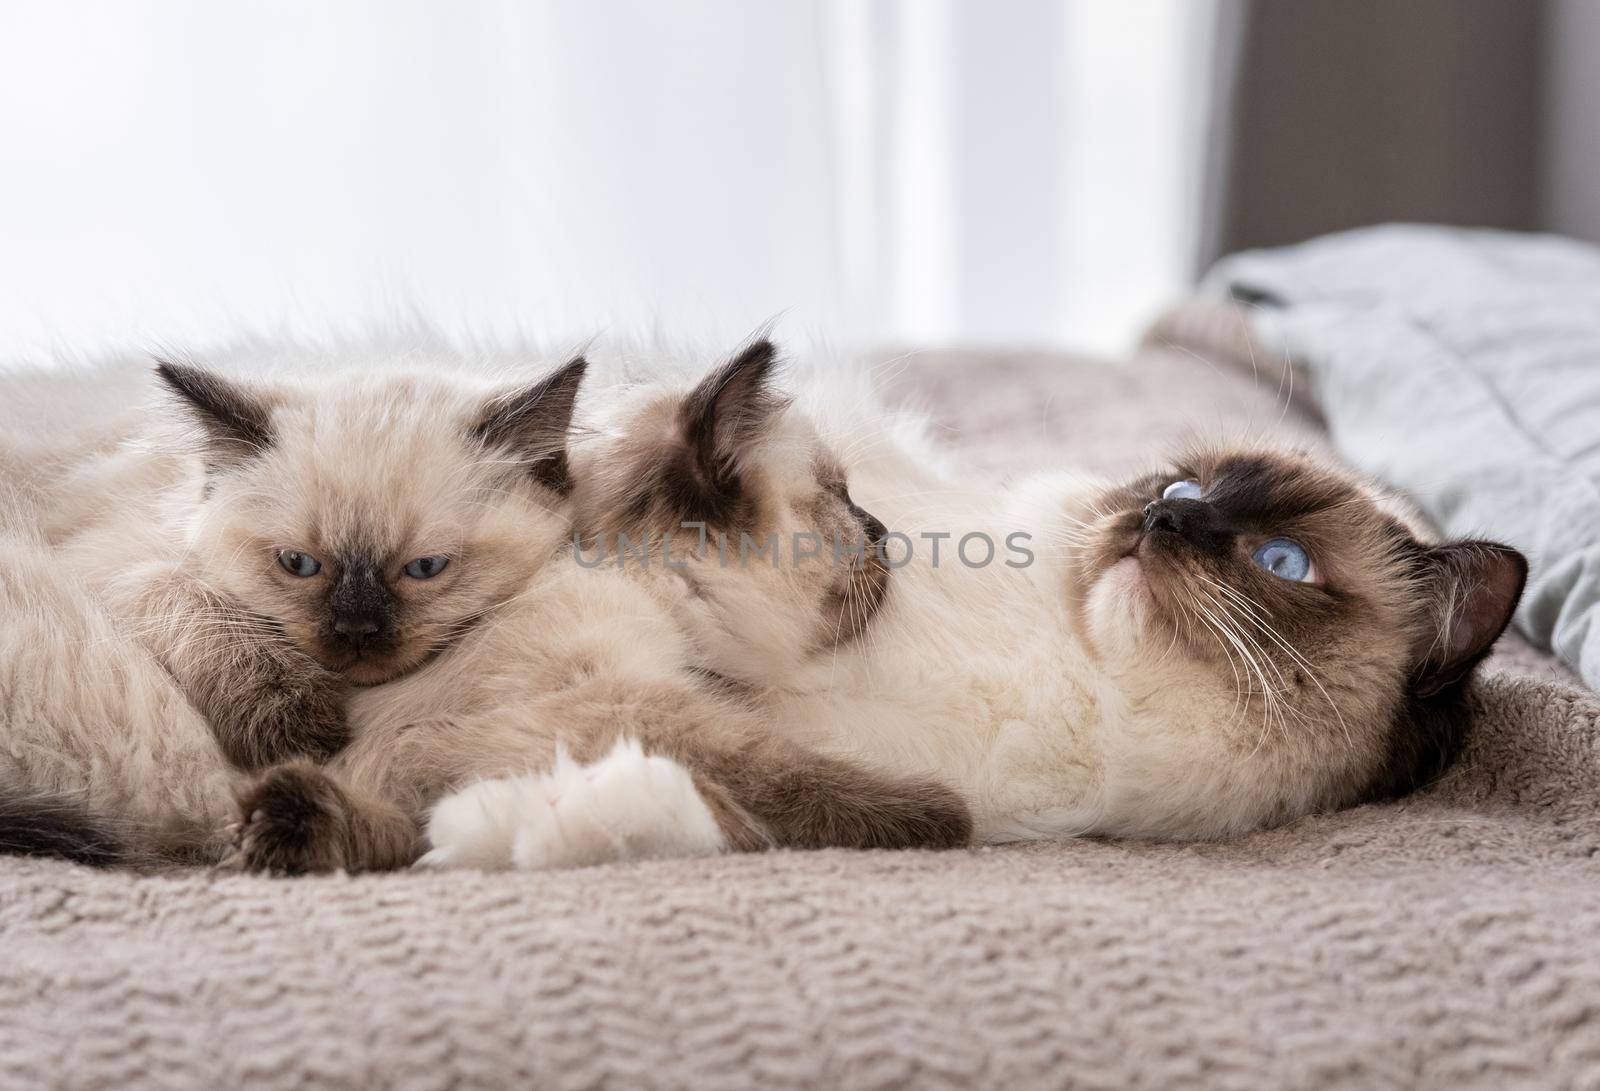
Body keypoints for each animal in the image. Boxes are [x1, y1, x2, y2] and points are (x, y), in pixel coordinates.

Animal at [428, 383, 1523, 857]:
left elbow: (727, 797)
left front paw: (506, 823)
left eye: (1281, 561)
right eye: (1180, 488)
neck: (1076, 669)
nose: (1161, 520)